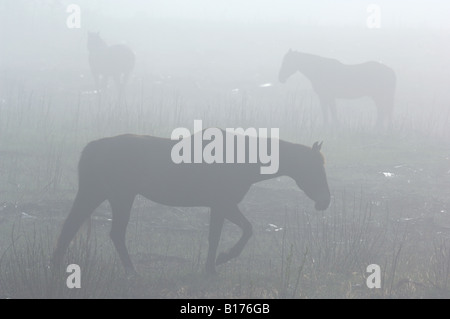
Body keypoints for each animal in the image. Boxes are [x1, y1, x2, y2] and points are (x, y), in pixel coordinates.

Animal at [52, 131, 330, 276]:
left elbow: (218, 236)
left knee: (70, 228)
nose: (325, 201)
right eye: (315, 168)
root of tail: (93, 148)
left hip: (96, 194)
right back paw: (132, 271)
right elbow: (242, 231)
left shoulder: (220, 207)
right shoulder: (224, 204)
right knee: (115, 233)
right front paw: (222, 260)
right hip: (120, 197)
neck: (241, 159)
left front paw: (211, 267)